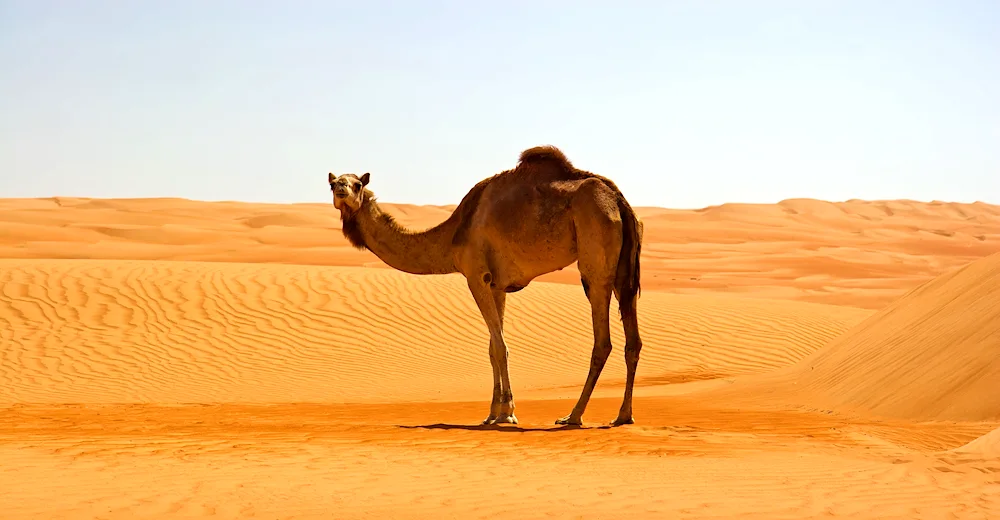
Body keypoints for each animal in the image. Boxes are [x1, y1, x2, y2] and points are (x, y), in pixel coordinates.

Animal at [324, 144, 644, 424]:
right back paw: (623, 415)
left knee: (602, 340)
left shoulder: (476, 276)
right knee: (633, 339)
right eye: (333, 184)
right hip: (623, 268)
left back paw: (573, 416)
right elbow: (492, 347)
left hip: (595, 251)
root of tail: (619, 201)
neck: (453, 235)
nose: (340, 188)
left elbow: (500, 346)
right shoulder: (497, 285)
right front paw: (493, 412)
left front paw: (508, 412)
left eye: (357, 184)